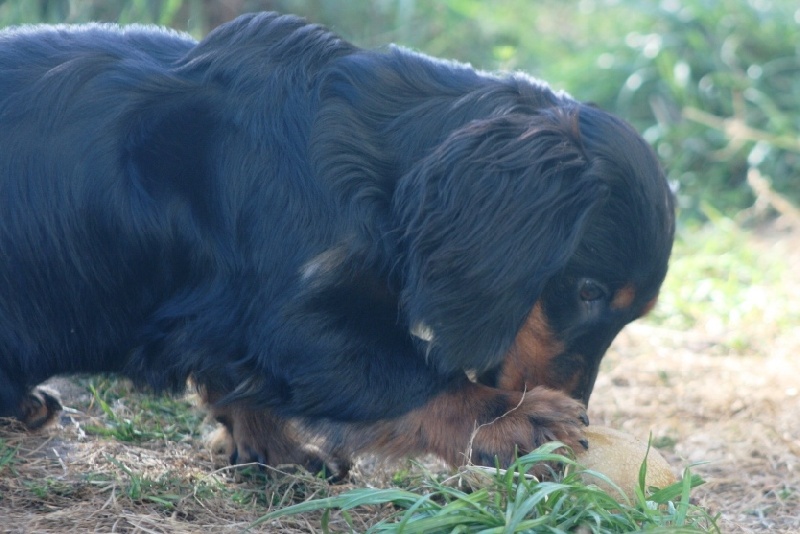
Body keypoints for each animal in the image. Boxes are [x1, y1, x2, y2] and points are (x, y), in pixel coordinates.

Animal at [0, 11, 676, 474]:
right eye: (587, 291)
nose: (581, 408)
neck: (370, 162)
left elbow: (239, 379)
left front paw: (272, 448)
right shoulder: (289, 316)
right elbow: (403, 371)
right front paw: (513, 418)